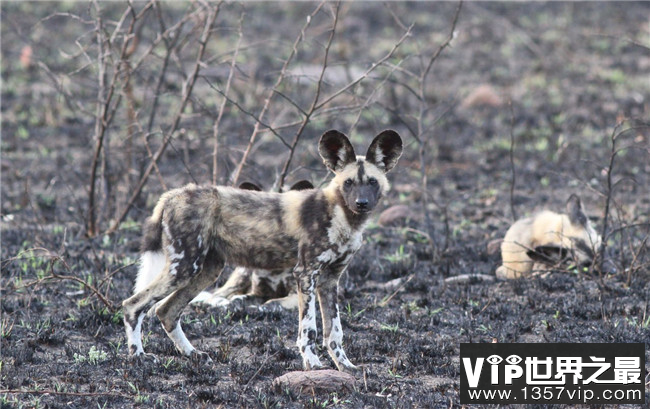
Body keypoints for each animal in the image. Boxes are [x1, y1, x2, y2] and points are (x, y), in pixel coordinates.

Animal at [187, 179, 314, 310]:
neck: (275, 269)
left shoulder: (296, 294)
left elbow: (273, 303)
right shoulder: (259, 293)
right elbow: (241, 299)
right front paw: (236, 305)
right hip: (241, 276)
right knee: (216, 295)